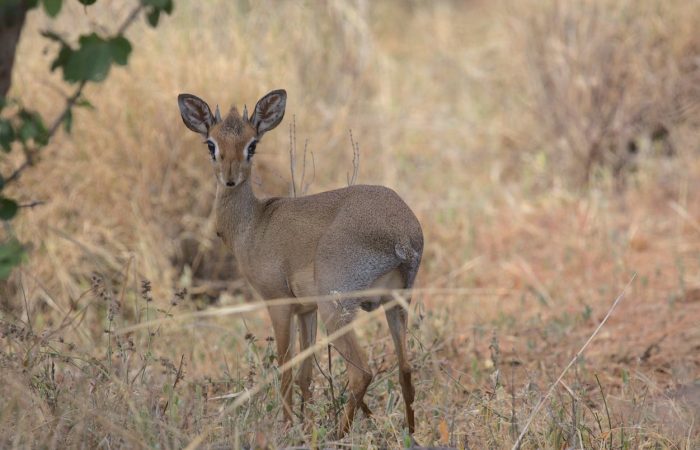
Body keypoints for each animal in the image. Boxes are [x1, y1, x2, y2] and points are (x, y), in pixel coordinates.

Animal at [178, 89, 424, 438]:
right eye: (211, 143)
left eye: (252, 144)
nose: (229, 179)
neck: (254, 223)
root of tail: (403, 234)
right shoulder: (305, 311)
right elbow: (306, 374)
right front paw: (305, 428)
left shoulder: (279, 304)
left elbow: (285, 368)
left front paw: (287, 427)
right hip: (396, 304)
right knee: (405, 369)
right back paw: (409, 434)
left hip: (336, 308)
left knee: (362, 372)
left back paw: (338, 434)